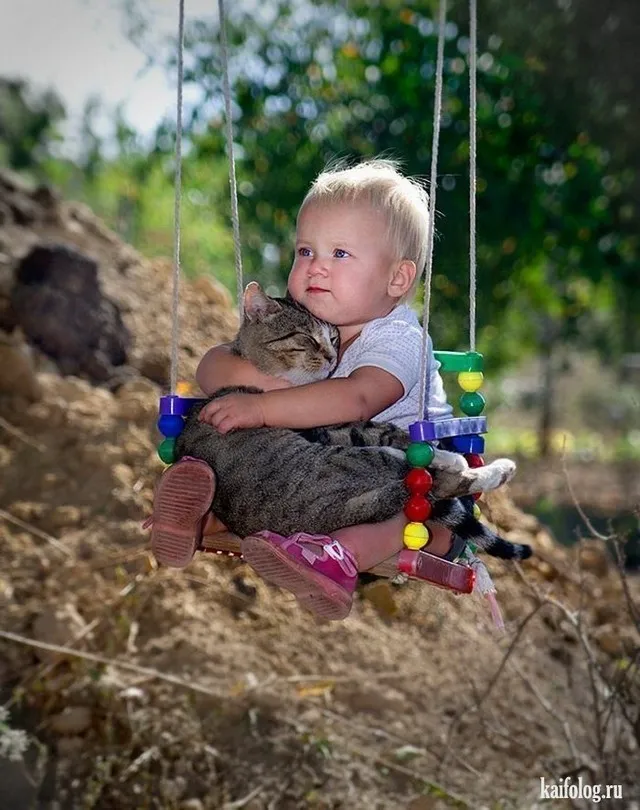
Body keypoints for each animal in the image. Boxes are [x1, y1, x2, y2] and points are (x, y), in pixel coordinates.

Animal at [175, 280, 528, 560]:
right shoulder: (330, 427)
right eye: (306, 338)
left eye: (333, 338)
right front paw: (448, 455)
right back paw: (487, 466)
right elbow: (386, 431)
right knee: (435, 480)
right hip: (358, 462)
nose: (333, 357)